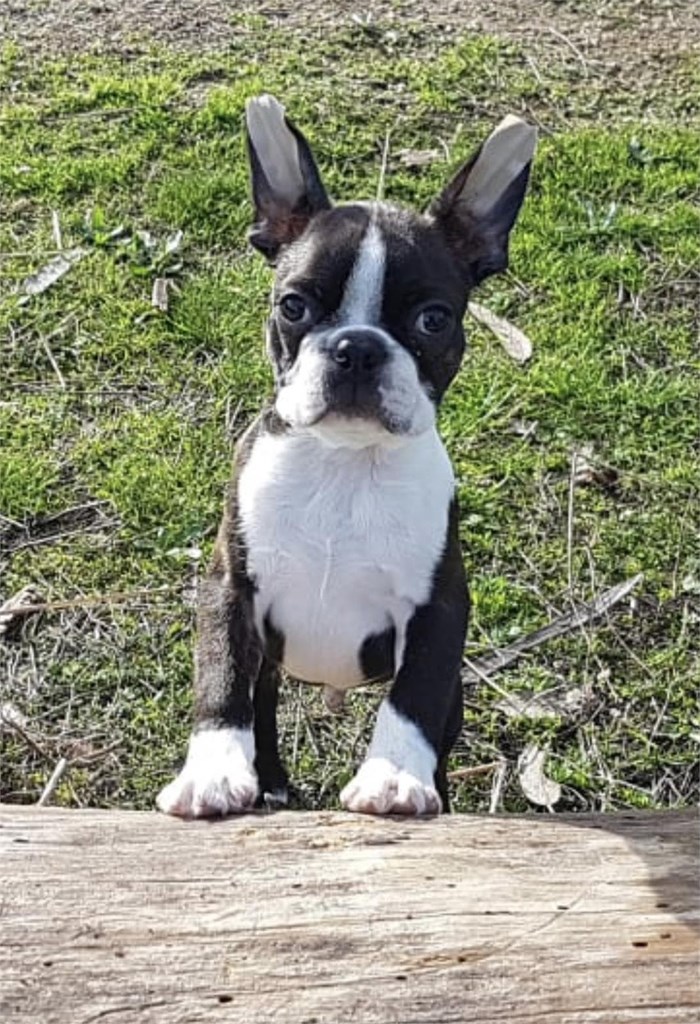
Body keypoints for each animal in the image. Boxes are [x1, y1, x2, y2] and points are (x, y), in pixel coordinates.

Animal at [157, 94, 536, 818]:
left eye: (433, 320)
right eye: (293, 306)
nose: (356, 347)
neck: (344, 463)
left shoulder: (439, 609)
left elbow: (412, 699)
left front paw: (393, 778)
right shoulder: (230, 586)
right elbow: (221, 678)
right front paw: (212, 771)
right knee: (262, 702)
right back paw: (269, 780)